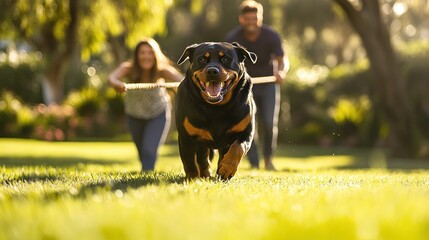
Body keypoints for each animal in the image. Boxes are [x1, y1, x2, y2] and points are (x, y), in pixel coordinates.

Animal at [175, 42, 256, 179]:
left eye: (226, 59)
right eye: (202, 59)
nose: (212, 71)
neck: (216, 108)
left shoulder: (246, 132)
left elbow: (237, 148)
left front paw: (227, 169)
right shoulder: (186, 136)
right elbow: (190, 161)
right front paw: (192, 179)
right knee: (202, 159)